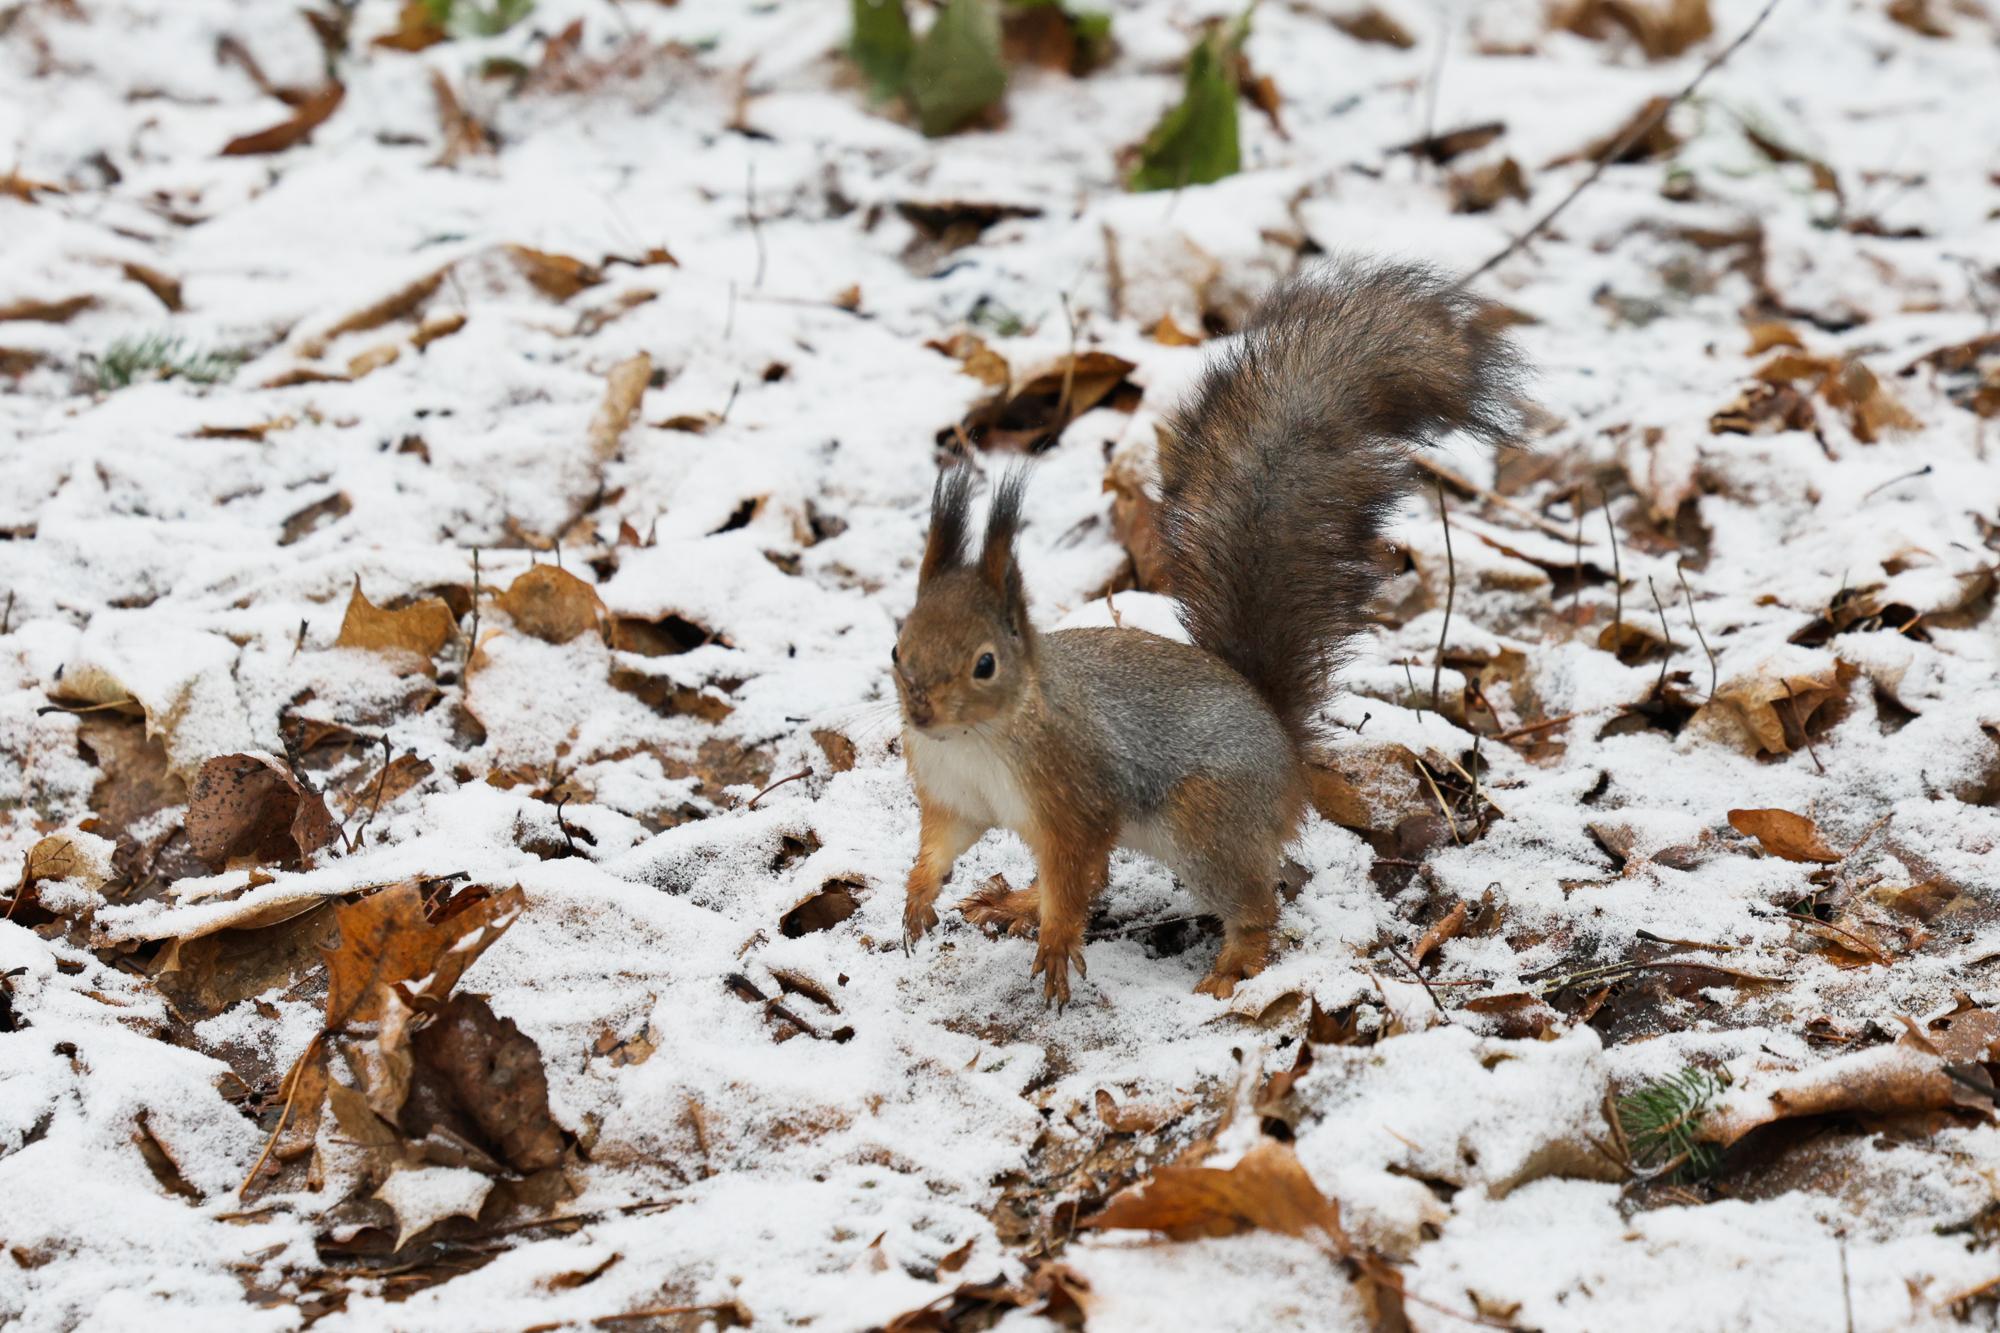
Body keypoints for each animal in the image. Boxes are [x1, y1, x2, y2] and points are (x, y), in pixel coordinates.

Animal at [888, 254, 1512, 1000]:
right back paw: (1014, 903)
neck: (979, 738)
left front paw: (1058, 943)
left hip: (1205, 822)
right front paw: (918, 898)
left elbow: (1075, 876)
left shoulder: (1074, 801)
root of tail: (1285, 750)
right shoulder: (955, 798)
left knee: (1251, 902)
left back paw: (1232, 969)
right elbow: (942, 848)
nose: (921, 712)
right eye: (896, 647)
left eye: (985, 663)